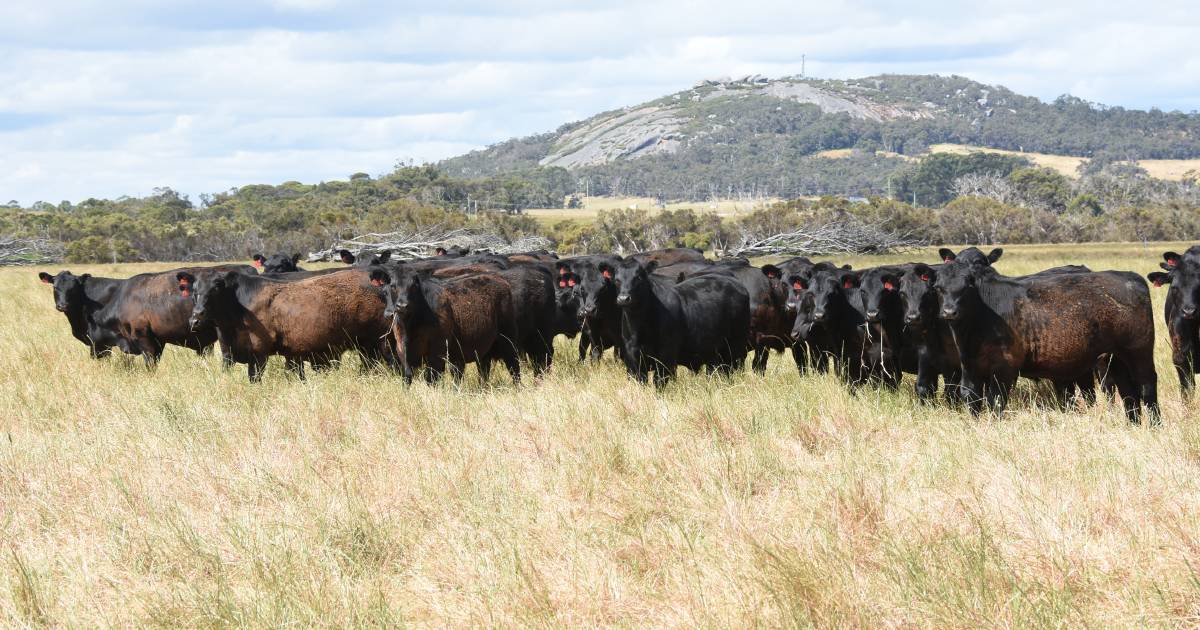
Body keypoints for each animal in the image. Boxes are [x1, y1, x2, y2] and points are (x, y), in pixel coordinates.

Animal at [604, 258, 744, 386]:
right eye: (616, 280)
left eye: (638, 278)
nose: (623, 298)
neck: (639, 328)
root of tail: (736, 284)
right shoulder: (633, 358)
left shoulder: (665, 357)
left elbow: (659, 382)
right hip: (714, 353)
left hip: (735, 348)